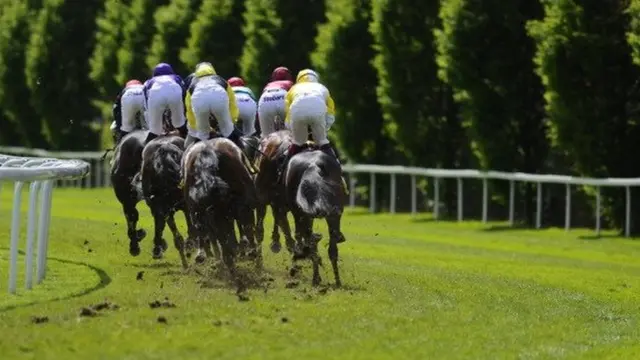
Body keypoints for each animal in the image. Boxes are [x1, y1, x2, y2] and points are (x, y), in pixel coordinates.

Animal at [284, 143, 344, 286]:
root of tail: (313, 165)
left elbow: (301, 238)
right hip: (333, 214)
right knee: (331, 247)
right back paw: (337, 280)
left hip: (300, 213)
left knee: (307, 239)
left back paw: (314, 276)